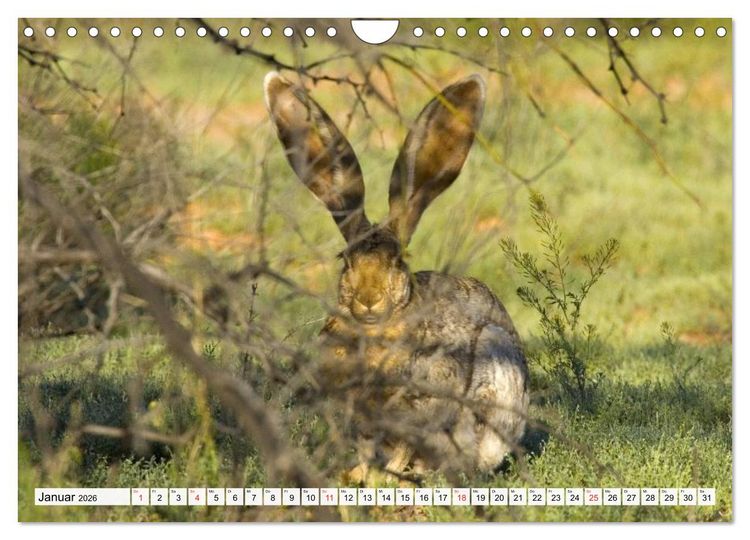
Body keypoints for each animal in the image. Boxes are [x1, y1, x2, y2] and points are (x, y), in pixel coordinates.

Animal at [264, 71, 529, 477]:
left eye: (398, 261)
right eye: (345, 260)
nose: (368, 301)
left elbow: (405, 443)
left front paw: (383, 480)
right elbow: (363, 447)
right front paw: (355, 476)